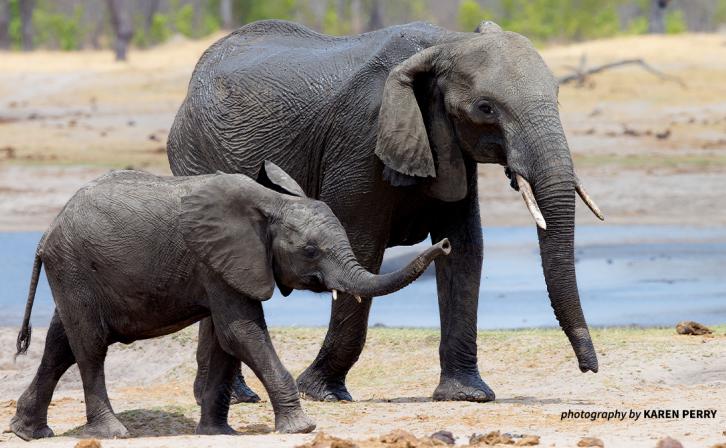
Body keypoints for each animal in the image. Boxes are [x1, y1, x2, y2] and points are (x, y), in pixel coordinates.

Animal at [10, 162, 450, 440]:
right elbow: (243, 333)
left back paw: (29, 432)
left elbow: (225, 339)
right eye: (310, 251)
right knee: (90, 345)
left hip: (74, 274)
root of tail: (47, 231)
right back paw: (112, 433)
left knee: (61, 343)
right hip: (74, 267)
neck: (273, 204)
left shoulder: (223, 267)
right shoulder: (217, 259)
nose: (444, 243)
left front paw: (218, 433)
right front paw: (301, 428)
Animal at [167, 19, 604, 404]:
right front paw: (323, 393)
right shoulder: (361, 138)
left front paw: (468, 395)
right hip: (193, 156)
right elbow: (361, 248)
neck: (446, 43)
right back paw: (238, 398)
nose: (590, 368)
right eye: (486, 108)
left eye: (558, 96)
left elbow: (466, 249)